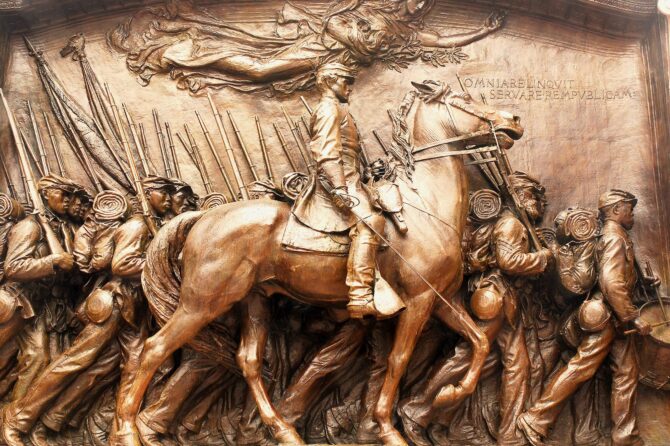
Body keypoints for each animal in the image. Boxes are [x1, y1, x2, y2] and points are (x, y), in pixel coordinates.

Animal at [114, 80, 524, 446]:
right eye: (464, 100)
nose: (514, 119)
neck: (424, 205)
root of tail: (202, 217)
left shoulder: (442, 300)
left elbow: (478, 341)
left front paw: (449, 394)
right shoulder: (419, 302)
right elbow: (398, 360)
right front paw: (388, 428)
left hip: (254, 300)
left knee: (248, 360)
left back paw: (284, 431)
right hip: (202, 303)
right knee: (153, 349)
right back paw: (129, 430)